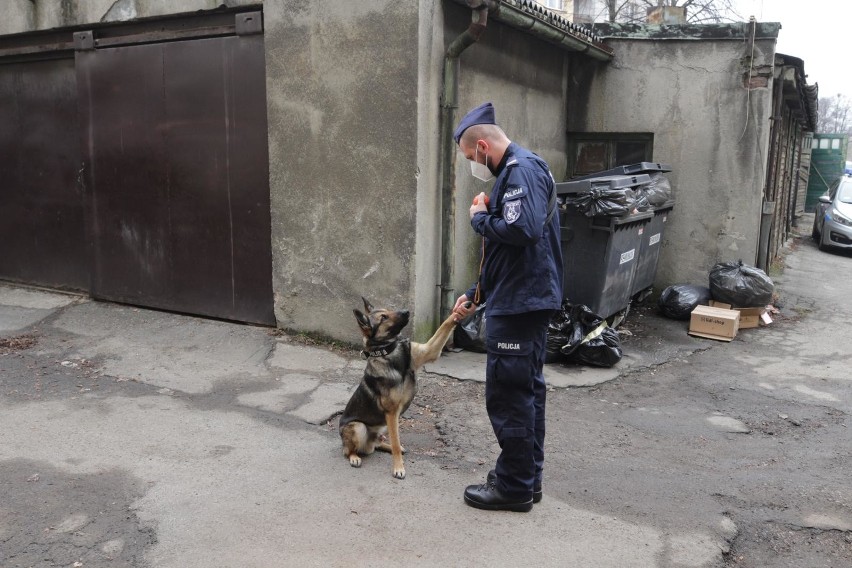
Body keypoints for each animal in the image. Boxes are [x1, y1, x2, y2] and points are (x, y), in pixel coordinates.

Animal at [340, 298, 460, 480]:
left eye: (389, 310)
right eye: (383, 318)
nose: (406, 311)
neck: (388, 351)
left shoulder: (429, 350)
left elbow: (446, 324)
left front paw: (462, 309)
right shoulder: (391, 413)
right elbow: (396, 442)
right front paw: (398, 467)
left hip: (382, 427)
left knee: (378, 443)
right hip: (358, 427)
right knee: (349, 450)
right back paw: (355, 457)